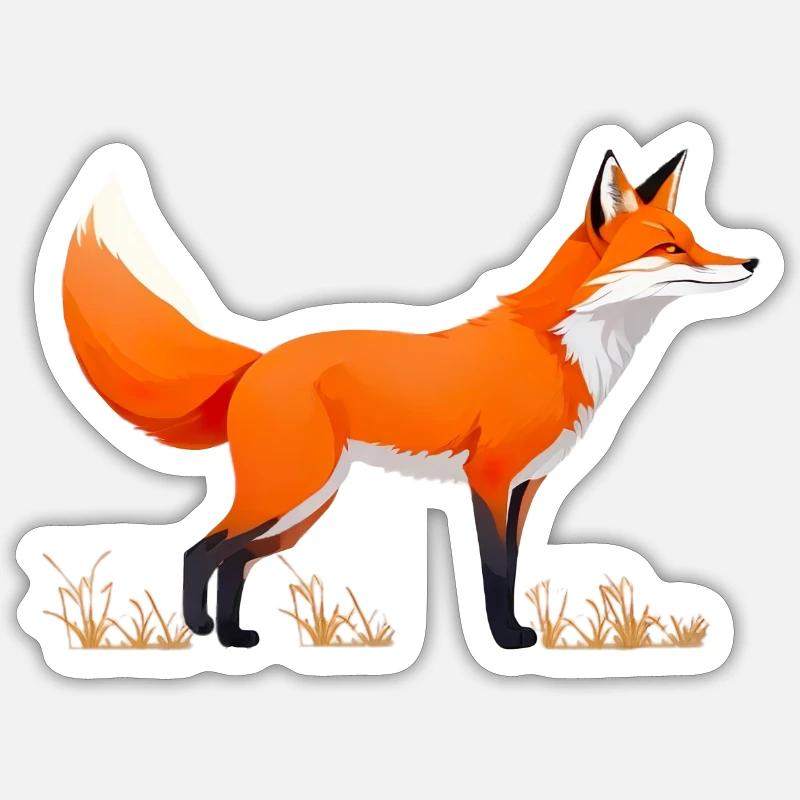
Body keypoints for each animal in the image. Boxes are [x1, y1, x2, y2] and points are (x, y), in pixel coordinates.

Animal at [59, 146, 759, 650]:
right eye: (669, 247)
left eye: (695, 237)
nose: (752, 261)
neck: (564, 348)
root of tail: (260, 357)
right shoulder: (489, 478)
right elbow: (495, 571)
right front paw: (506, 642)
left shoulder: (528, 486)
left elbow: (515, 566)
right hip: (288, 491)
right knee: (199, 550)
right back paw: (203, 633)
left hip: (305, 504)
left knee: (234, 562)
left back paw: (234, 638)